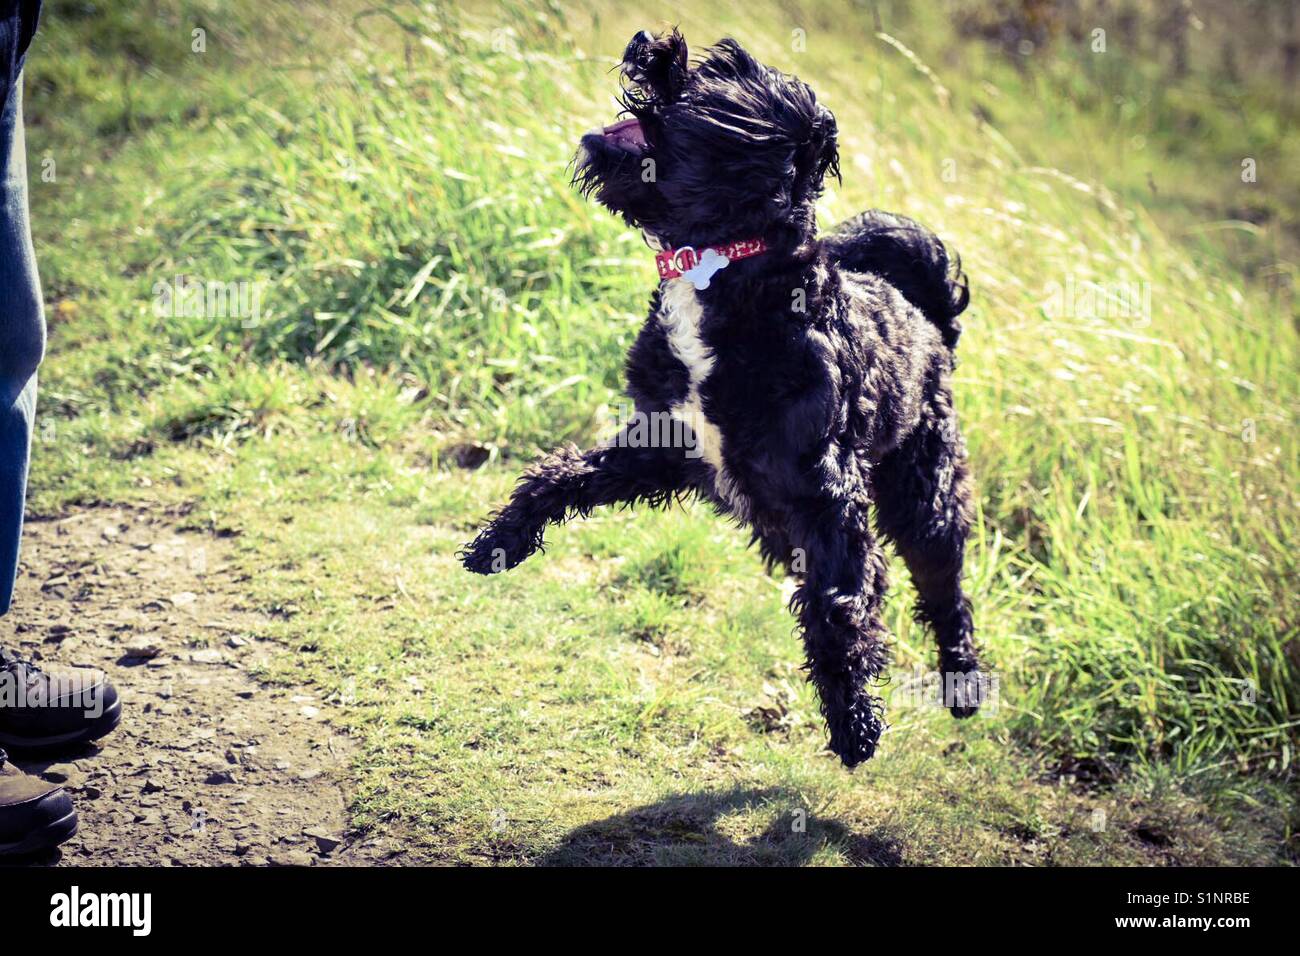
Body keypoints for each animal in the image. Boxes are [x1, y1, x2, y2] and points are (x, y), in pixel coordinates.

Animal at [462, 29, 977, 770]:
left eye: (719, 79)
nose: (646, 42)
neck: (726, 272)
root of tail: (932, 321)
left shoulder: (827, 496)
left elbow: (839, 602)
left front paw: (854, 721)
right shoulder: (664, 441)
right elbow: (559, 477)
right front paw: (500, 541)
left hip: (925, 495)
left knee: (946, 592)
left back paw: (963, 684)